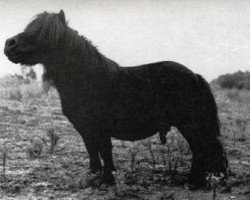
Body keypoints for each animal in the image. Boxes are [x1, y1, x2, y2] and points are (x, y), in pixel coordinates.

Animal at [3, 10, 229, 188]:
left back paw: (194, 182)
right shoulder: (85, 128)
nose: (9, 44)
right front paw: (94, 176)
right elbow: (93, 151)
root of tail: (195, 75)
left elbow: (104, 151)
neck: (86, 79)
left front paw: (106, 180)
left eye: (45, 32)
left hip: (190, 125)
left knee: (201, 150)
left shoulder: (100, 128)